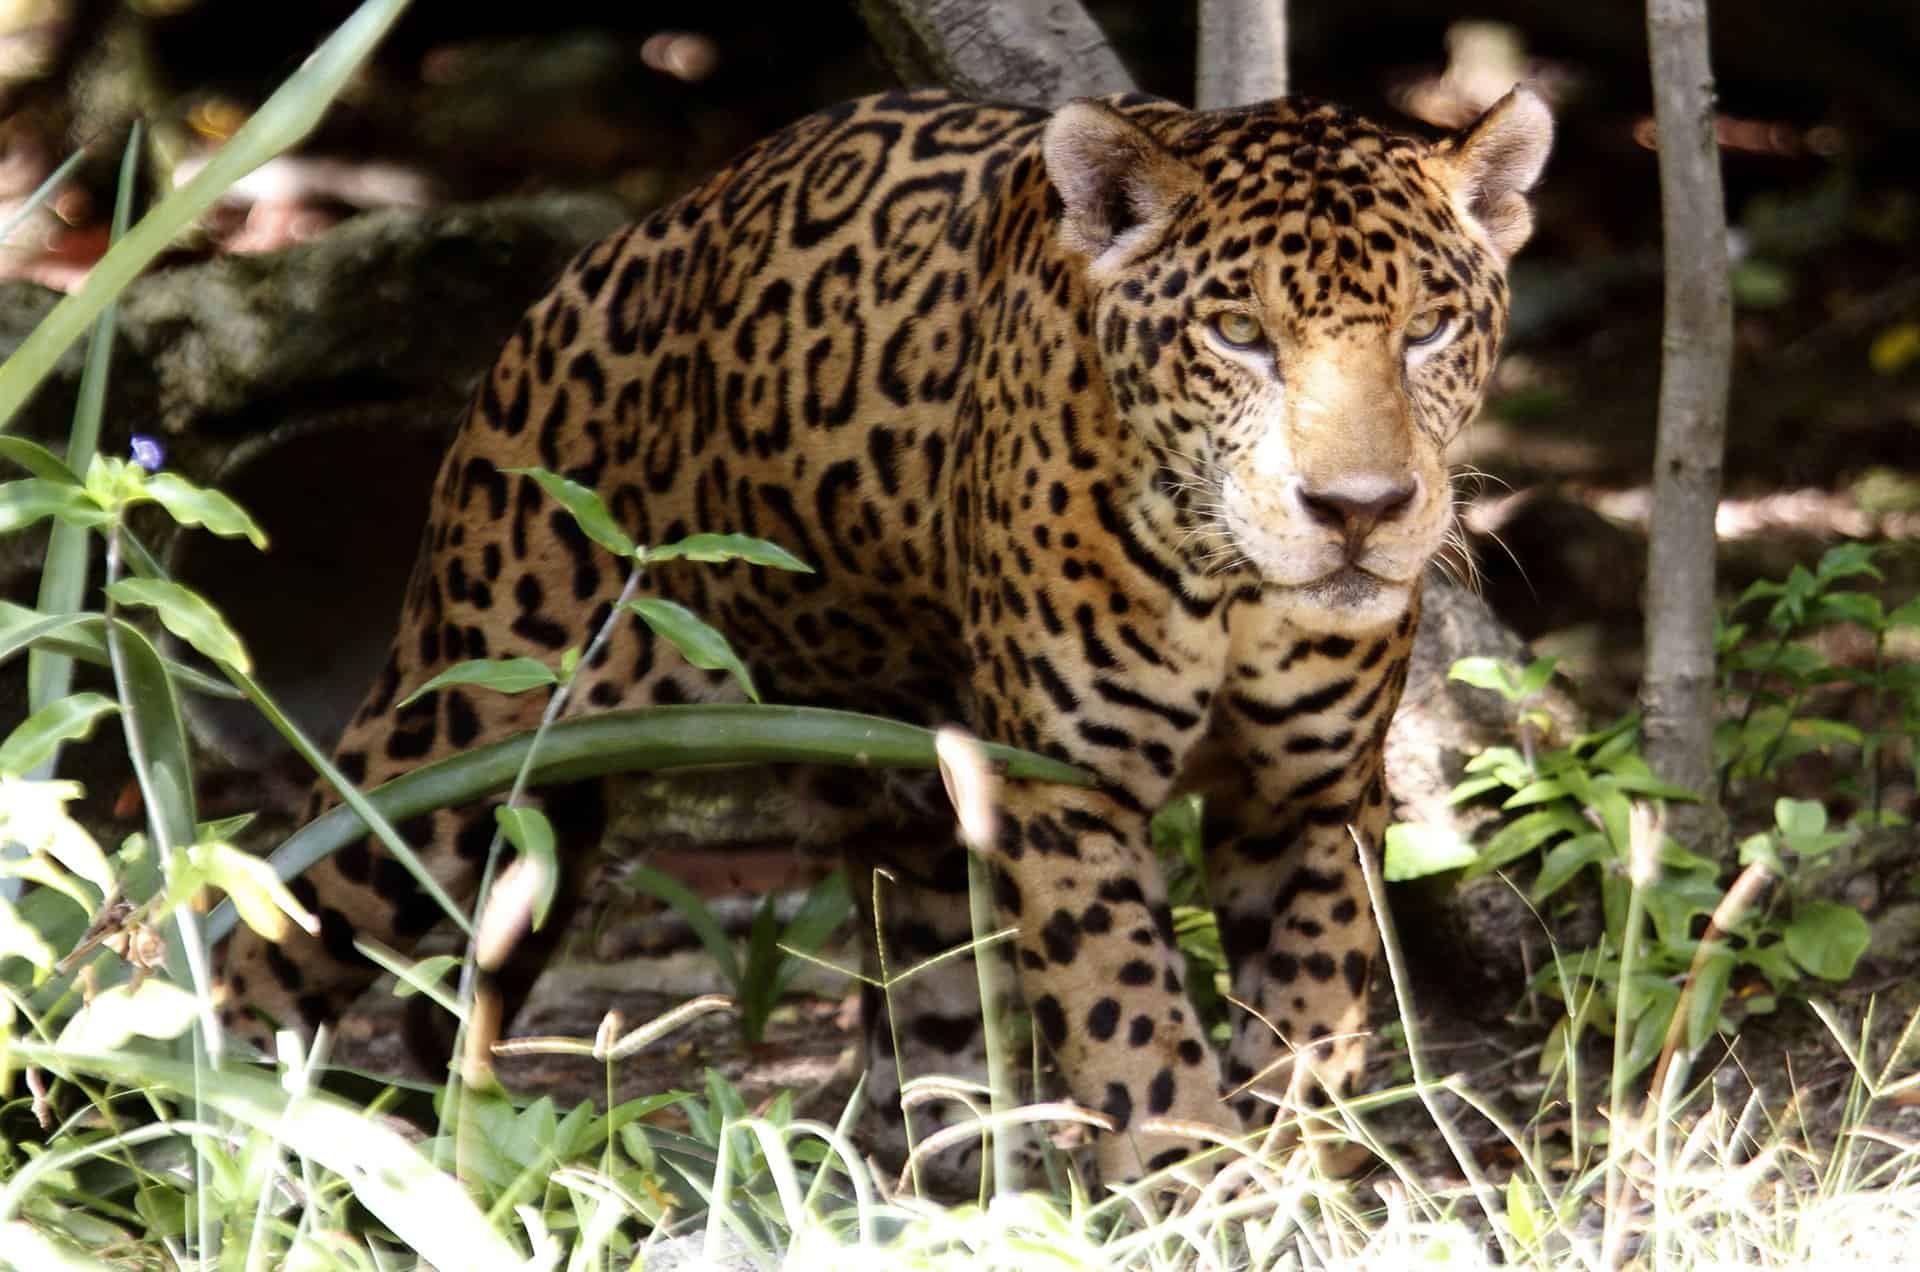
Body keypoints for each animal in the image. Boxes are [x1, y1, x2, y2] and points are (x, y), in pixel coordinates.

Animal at [216, 84, 1551, 1187]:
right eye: (1238, 335)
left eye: (1428, 329)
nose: (1360, 509)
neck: (1232, 590)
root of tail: (599, 261)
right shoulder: (1063, 787)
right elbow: (1130, 1016)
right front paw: (1195, 1186)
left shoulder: (1312, 796)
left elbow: (1310, 1011)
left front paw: (1288, 1179)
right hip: (462, 731)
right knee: (282, 917)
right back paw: (209, 1117)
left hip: (897, 787)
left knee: (924, 991)